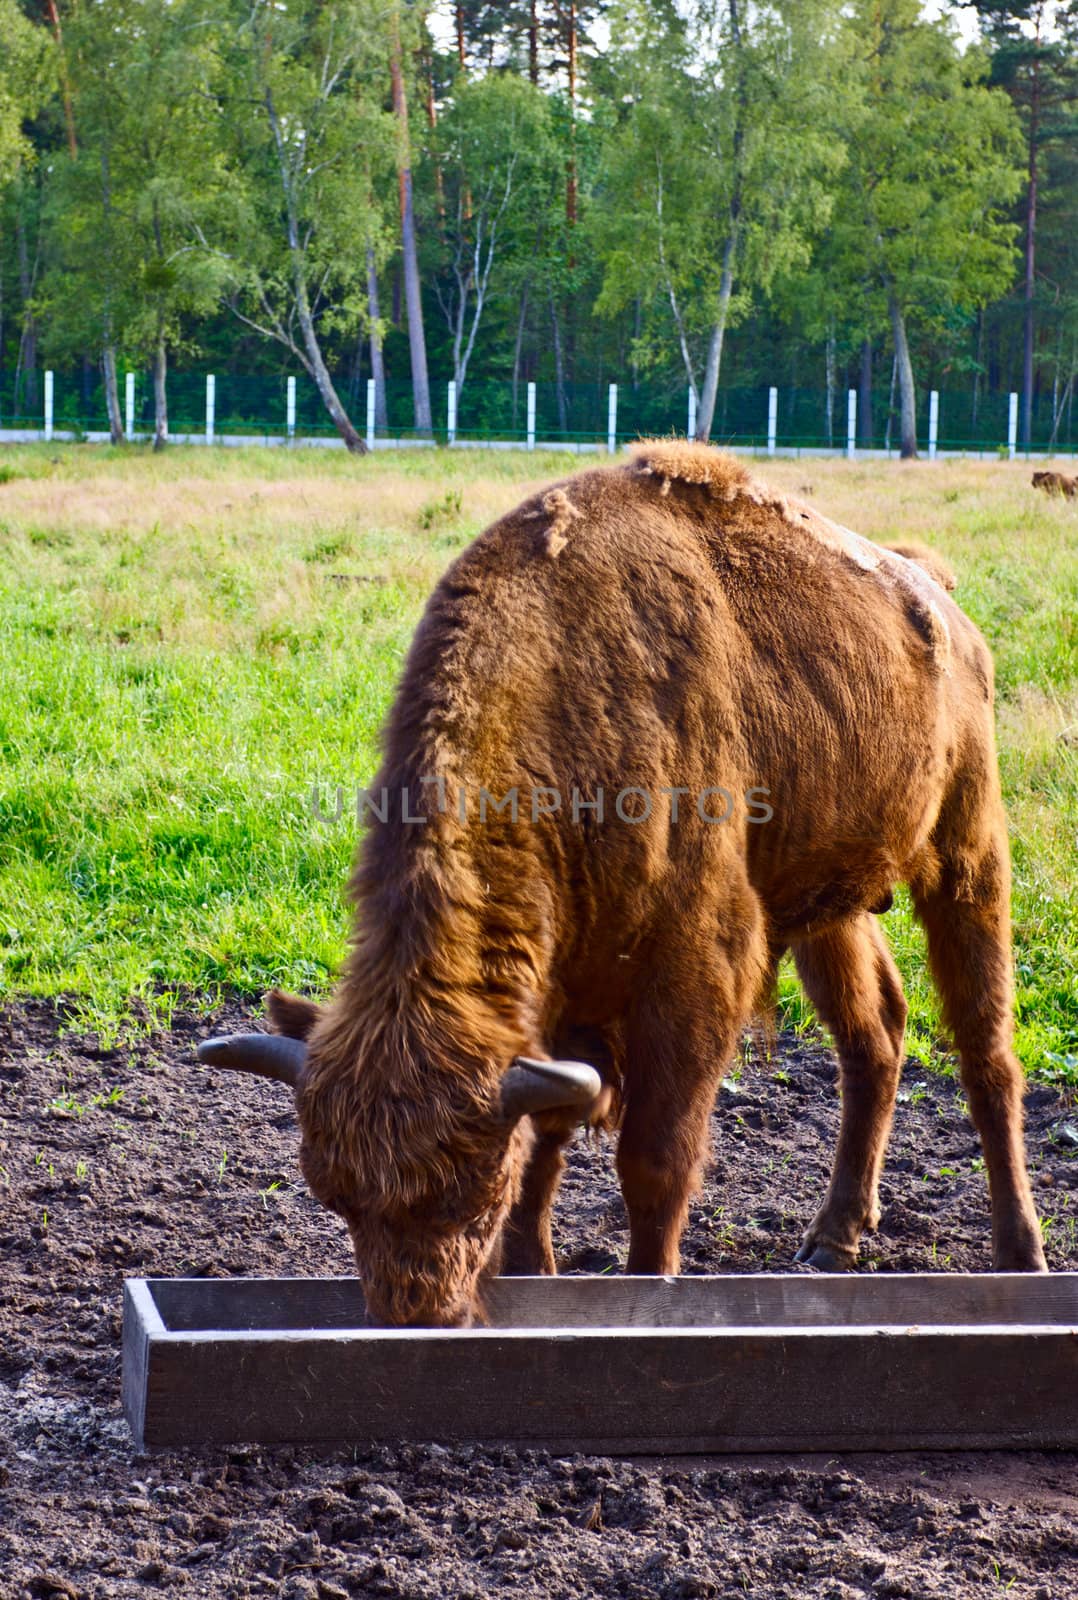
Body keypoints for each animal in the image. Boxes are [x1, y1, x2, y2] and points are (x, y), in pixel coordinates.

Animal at [199, 441, 1042, 1324]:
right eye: (337, 1197)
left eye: (473, 1194)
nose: (422, 1316)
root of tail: (936, 599)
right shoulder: (560, 995)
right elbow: (550, 1139)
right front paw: (534, 1269)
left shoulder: (696, 975)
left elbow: (654, 1159)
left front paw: (645, 1285)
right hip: (829, 905)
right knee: (874, 1035)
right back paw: (833, 1237)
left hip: (967, 852)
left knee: (987, 1053)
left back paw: (1020, 1252)